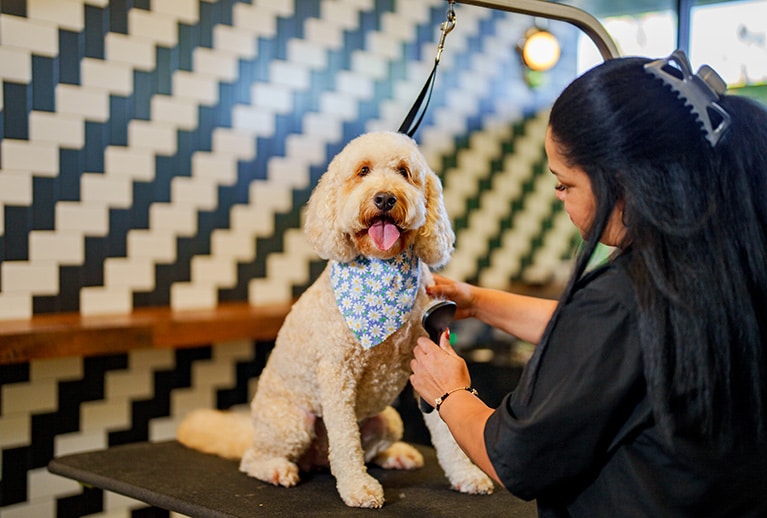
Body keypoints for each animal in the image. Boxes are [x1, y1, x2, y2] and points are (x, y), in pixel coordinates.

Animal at [177, 132, 496, 510]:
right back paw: (276, 468)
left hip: (387, 420)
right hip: (291, 423)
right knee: (254, 458)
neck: (381, 269)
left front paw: (466, 474)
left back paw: (396, 454)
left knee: (369, 447)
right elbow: (345, 441)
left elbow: (448, 427)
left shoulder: (427, 360)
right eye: (363, 171)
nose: (385, 198)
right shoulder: (336, 372)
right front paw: (358, 487)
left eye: (404, 172)